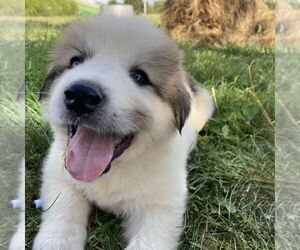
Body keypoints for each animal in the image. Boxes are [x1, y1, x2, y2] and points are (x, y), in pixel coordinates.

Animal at [33, 14, 213, 249]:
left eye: (139, 77)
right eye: (75, 62)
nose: (81, 95)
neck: (112, 171)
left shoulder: (161, 204)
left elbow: (149, 241)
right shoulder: (58, 174)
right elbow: (64, 208)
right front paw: (57, 241)